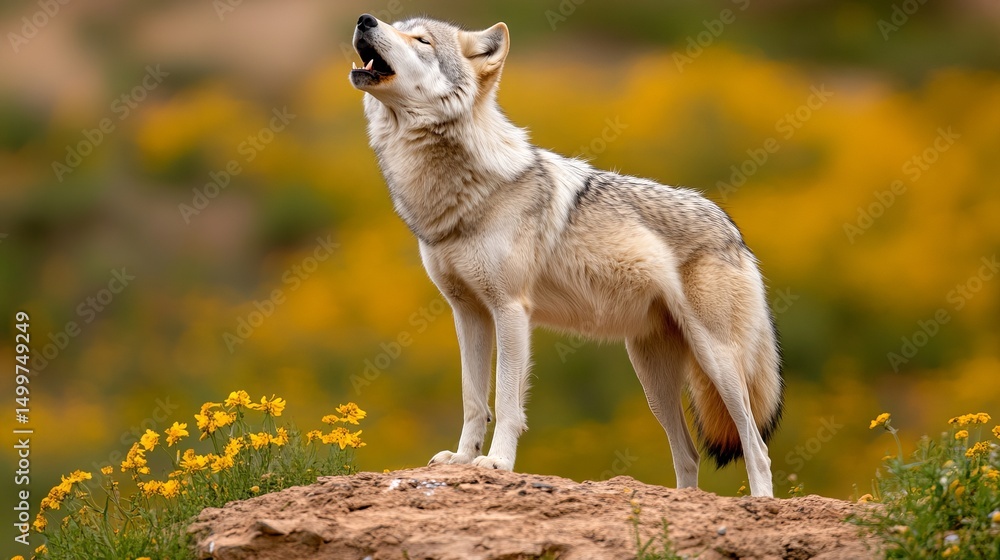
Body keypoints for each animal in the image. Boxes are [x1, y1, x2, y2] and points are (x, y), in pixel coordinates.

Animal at [349, 13, 784, 497]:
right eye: (397, 24)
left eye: (421, 39)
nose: (365, 19)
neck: (456, 192)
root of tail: (734, 231)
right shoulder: (469, 313)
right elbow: (472, 399)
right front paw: (462, 459)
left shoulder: (510, 310)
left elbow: (506, 401)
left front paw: (497, 463)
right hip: (652, 378)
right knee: (688, 455)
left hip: (717, 363)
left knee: (756, 447)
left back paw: (760, 504)